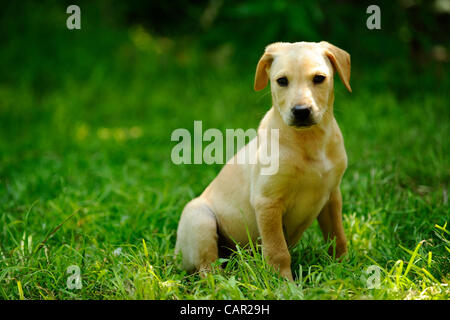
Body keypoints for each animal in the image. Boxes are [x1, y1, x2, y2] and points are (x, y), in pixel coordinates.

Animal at [175, 41, 352, 282]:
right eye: (282, 81)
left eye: (319, 78)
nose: (301, 111)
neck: (309, 141)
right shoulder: (267, 202)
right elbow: (278, 251)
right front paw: (284, 284)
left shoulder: (332, 196)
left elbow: (337, 237)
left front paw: (344, 270)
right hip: (200, 218)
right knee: (207, 267)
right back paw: (220, 283)